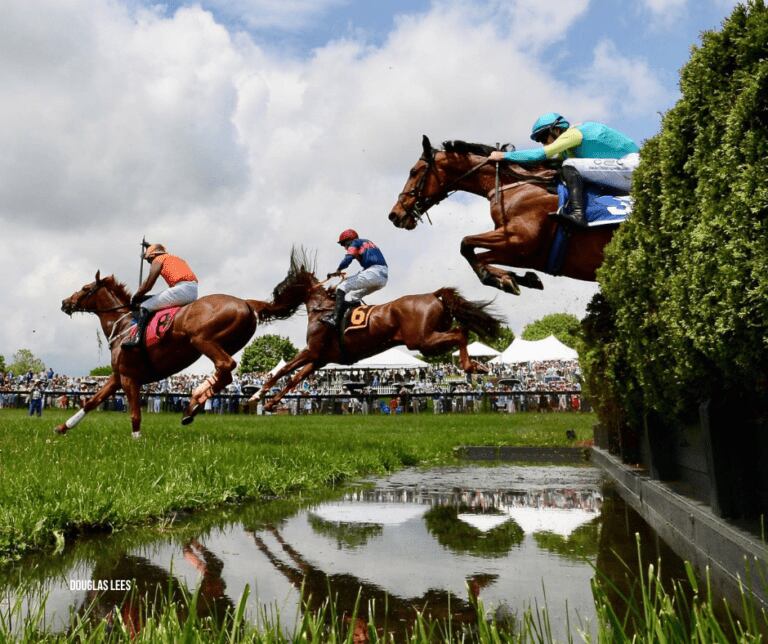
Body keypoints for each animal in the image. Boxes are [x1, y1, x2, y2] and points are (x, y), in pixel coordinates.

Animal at [57, 272, 268, 438]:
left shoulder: (129, 377)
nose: (65, 302)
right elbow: (93, 401)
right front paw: (62, 427)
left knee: (226, 366)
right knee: (224, 373)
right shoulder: (117, 377)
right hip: (226, 344)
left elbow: (135, 413)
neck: (124, 327)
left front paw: (136, 439)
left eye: (85, 288)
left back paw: (192, 404)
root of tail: (246, 303)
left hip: (201, 340)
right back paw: (191, 407)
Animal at [248, 249, 504, 410]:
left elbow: (282, 371)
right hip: (428, 340)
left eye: (283, 286)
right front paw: (270, 402)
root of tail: (433, 295)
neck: (322, 309)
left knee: (460, 333)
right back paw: (476, 365)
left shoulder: (311, 351)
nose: (268, 306)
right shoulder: (320, 359)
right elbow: (294, 379)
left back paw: (472, 366)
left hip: (422, 341)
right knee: (462, 332)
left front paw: (256, 395)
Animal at [388, 138, 616, 296]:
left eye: (414, 171)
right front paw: (516, 278)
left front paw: (503, 280)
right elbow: (479, 257)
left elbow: (465, 244)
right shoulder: (526, 255)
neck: (516, 187)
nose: (394, 215)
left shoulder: (519, 240)